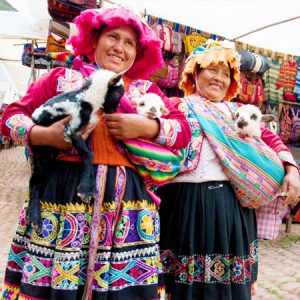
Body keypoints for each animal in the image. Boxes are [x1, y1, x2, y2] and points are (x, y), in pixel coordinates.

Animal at [28, 69, 123, 231]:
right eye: (118, 93)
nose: (114, 110)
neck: (86, 99)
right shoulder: (72, 129)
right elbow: (88, 154)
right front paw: (85, 189)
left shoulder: (86, 132)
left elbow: (90, 155)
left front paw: (92, 188)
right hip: (41, 152)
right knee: (33, 181)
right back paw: (34, 217)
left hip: (49, 155)